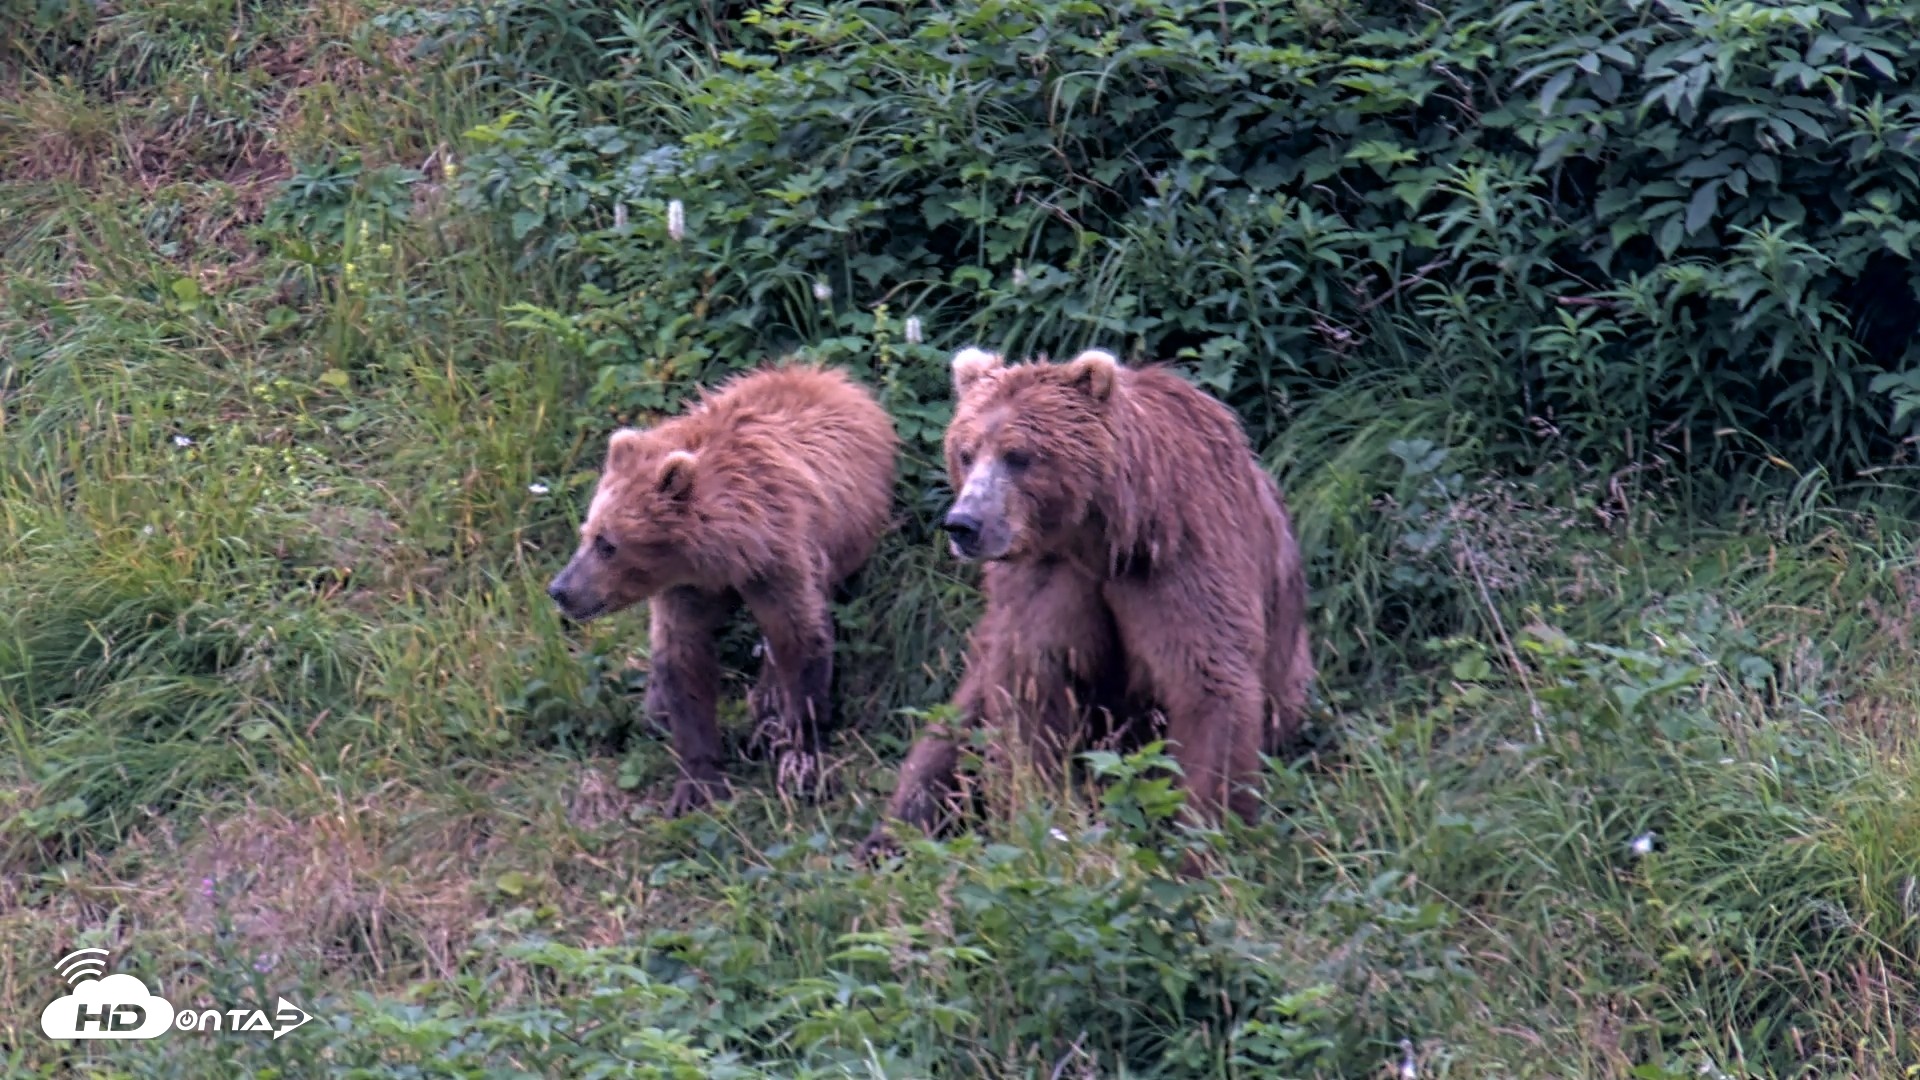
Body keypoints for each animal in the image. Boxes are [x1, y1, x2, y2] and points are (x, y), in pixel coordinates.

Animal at [547, 363, 899, 815]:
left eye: (607, 544)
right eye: (587, 532)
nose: (560, 589)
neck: (721, 555)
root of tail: (828, 374)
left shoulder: (780, 563)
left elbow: (800, 639)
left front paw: (800, 758)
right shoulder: (685, 590)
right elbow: (683, 659)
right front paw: (697, 782)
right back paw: (658, 708)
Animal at [867, 345, 1312, 852]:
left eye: (1018, 455)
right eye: (965, 452)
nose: (964, 523)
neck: (1103, 540)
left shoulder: (1184, 558)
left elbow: (1210, 681)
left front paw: (1202, 840)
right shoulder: (1047, 579)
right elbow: (1031, 690)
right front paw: (1041, 817)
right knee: (947, 740)